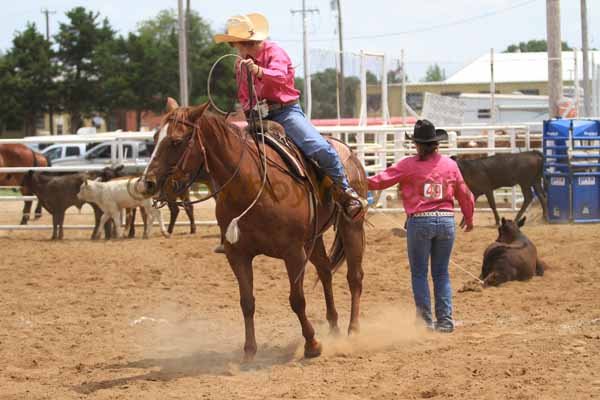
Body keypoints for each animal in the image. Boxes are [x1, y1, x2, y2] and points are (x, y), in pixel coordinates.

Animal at [144, 98, 368, 360]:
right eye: (155, 137)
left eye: (176, 141)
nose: (147, 183)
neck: (253, 186)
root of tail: (347, 150)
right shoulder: (237, 254)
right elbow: (247, 302)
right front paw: (249, 351)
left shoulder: (293, 253)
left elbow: (297, 300)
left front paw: (312, 344)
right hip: (313, 238)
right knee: (324, 271)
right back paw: (334, 328)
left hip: (351, 225)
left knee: (354, 277)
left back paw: (353, 331)